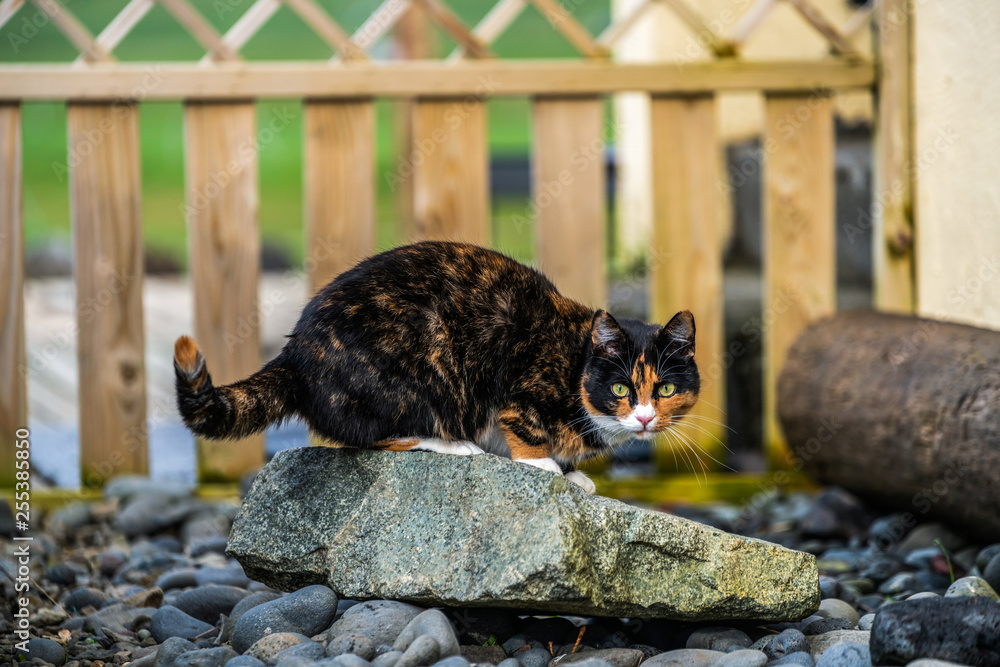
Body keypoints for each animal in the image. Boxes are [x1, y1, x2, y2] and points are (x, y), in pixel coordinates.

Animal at [172, 243, 700, 494]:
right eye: (620, 388)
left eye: (666, 388)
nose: (645, 417)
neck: (575, 362)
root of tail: (295, 352)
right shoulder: (519, 383)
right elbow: (521, 424)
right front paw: (546, 465)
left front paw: (573, 474)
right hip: (416, 372)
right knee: (367, 438)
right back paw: (454, 445)